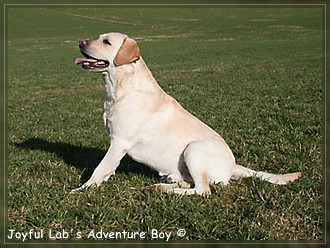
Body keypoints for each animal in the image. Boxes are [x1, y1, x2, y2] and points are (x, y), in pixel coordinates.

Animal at [73, 32, 302, 195]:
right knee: (190, 184)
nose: (80, 41)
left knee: (203, 190)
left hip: (194, 149)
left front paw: (81, 190)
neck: (120, 87)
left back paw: (168, 191)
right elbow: (107, 169)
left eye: (106, 42)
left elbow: (99, 169)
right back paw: (164, 185)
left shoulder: (119, 142)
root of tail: (233, 165)